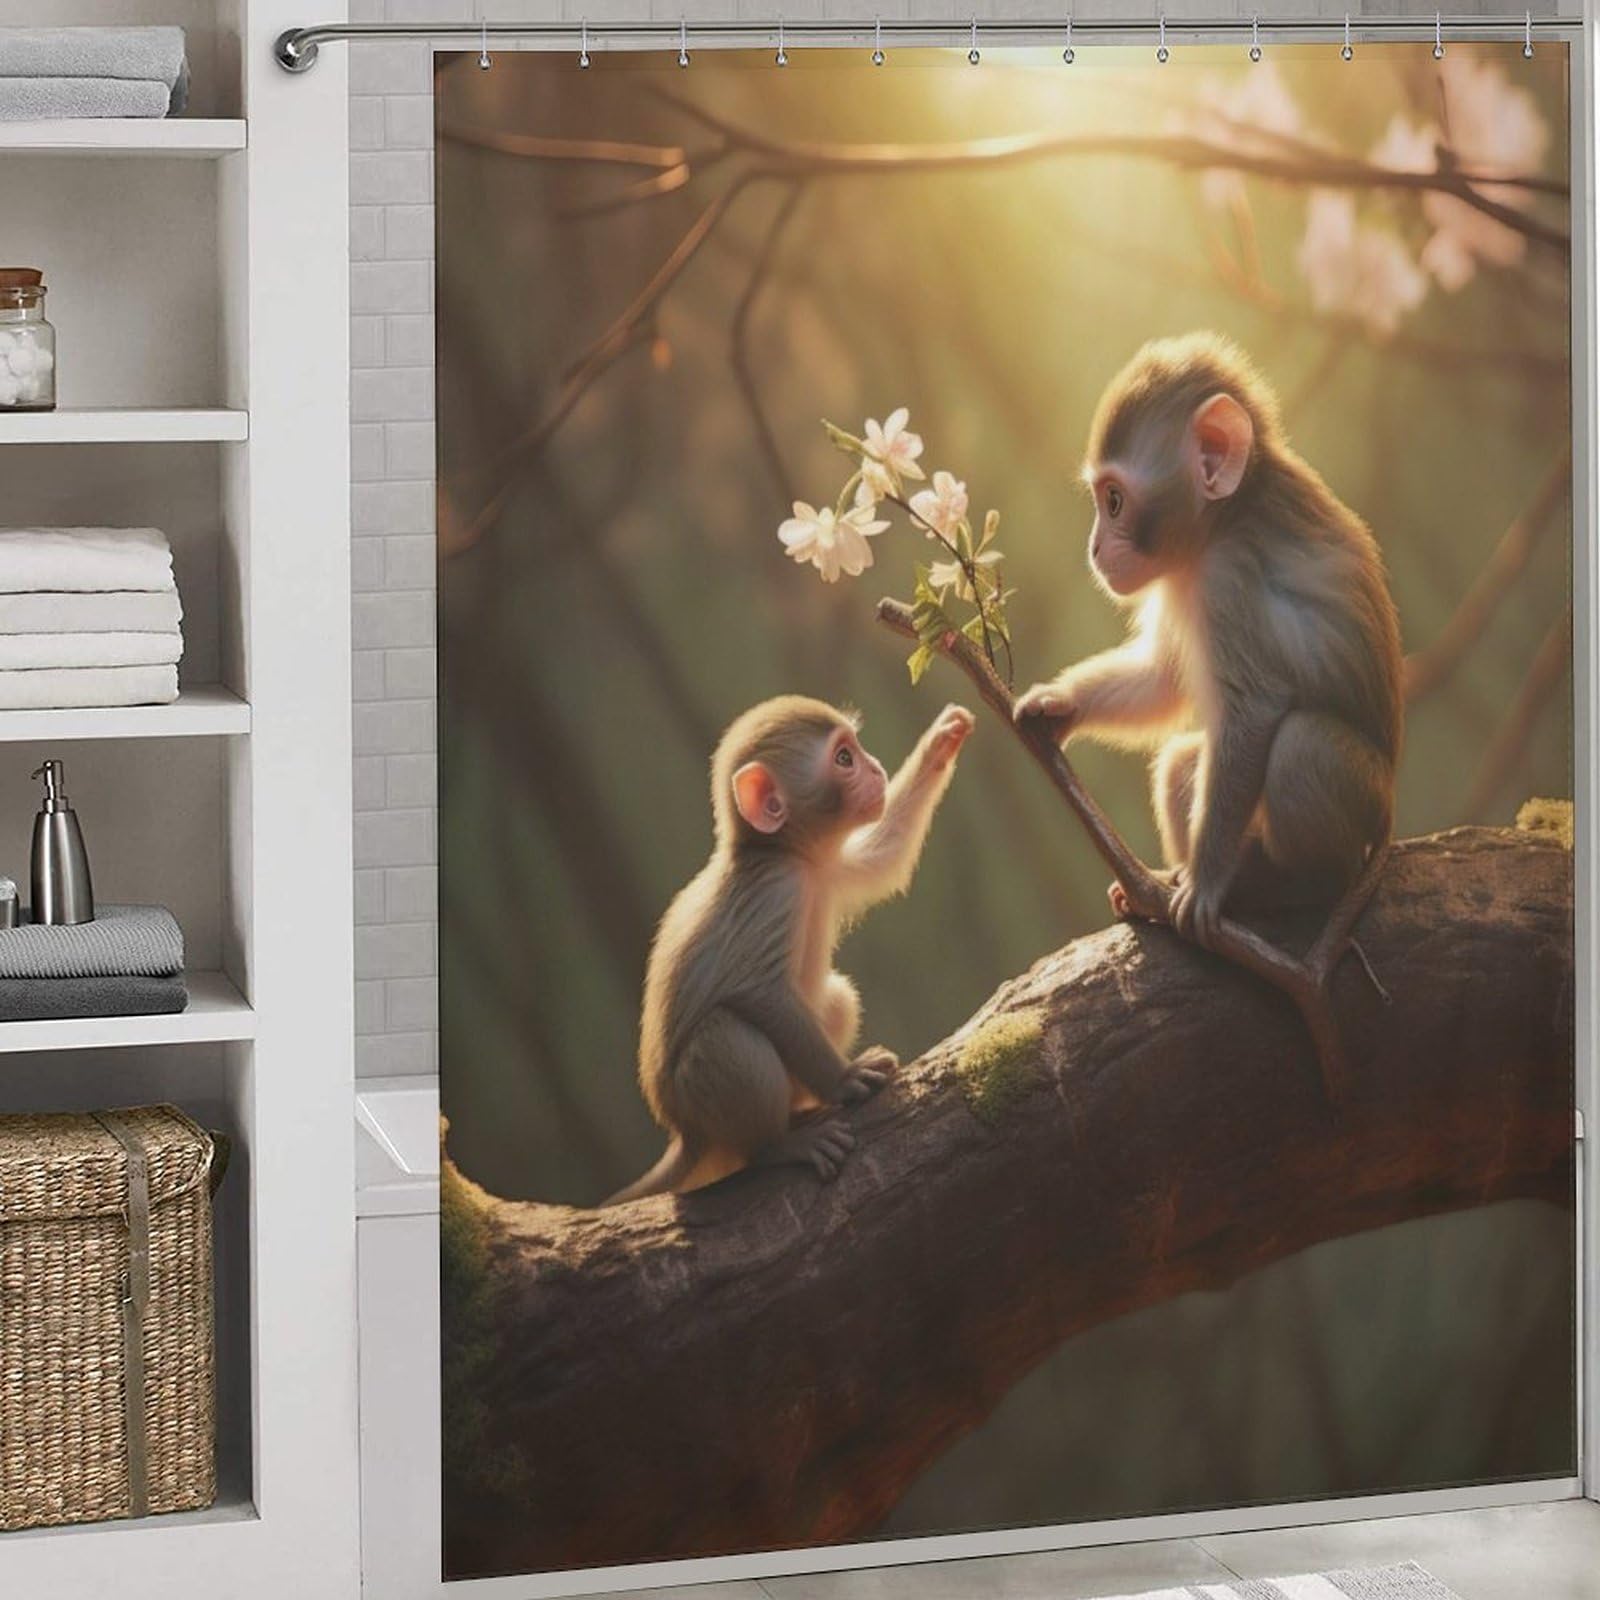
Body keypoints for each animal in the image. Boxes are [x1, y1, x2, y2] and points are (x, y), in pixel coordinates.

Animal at [605, 695, 976, 1205]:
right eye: (844, 758)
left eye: (855, 749)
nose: (875, 769)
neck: (785, 853)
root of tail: (685, 1135)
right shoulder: (776, 891)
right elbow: (761, 993)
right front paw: (844, 1080)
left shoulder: (827, 868)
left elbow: (882, 858)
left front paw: (942, 740)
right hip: (702, 1102)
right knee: (725, 1034)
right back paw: (777, 1145)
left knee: (836, 997)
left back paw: (801, 1112)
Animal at [1015, 331, 1403, 948]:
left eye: (1114, 501)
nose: (1095, 548)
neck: (1220, 523)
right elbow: (1164, 682)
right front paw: (1058, 702)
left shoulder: (1228, 579)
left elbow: (1253, 711)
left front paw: (1205, 888)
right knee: (1180, 763)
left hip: (1363, 798)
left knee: (1301, 746)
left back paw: (1291, 884)